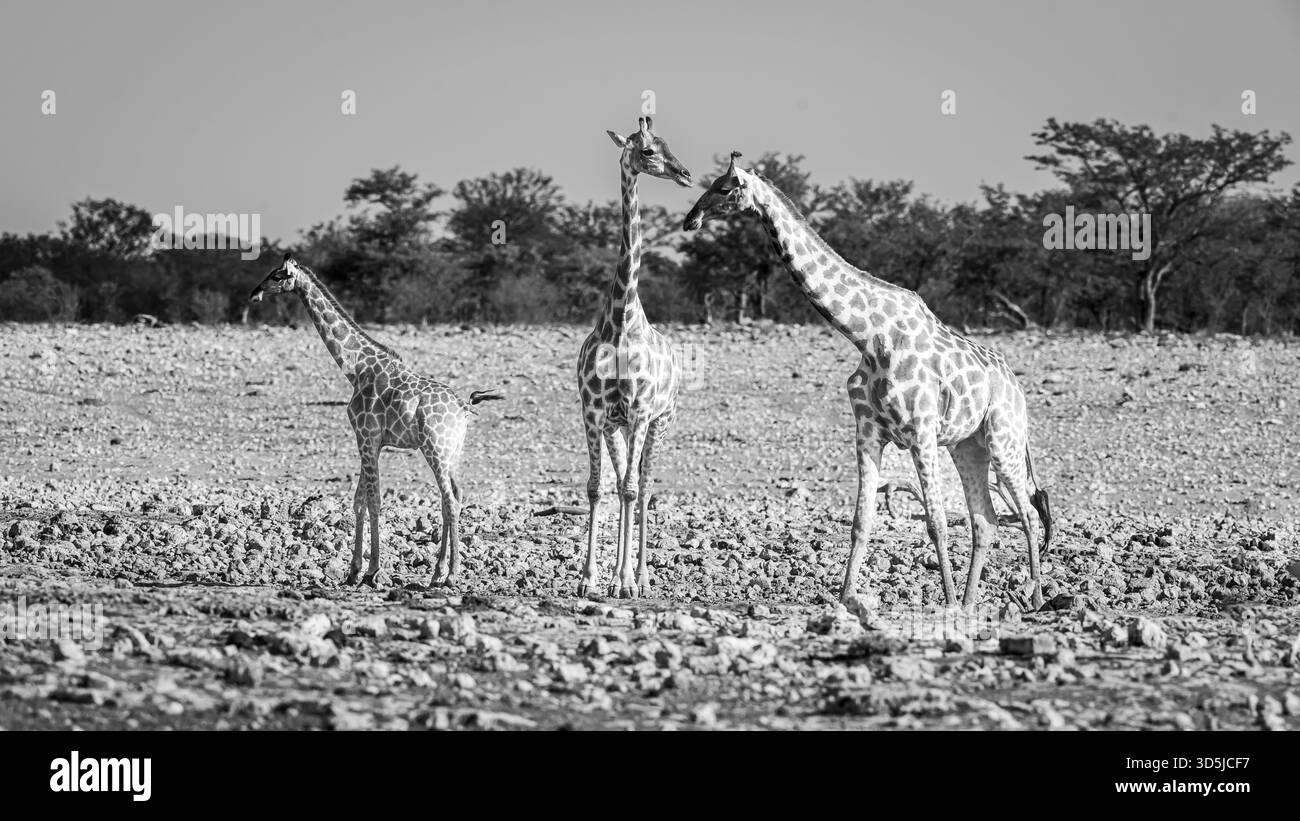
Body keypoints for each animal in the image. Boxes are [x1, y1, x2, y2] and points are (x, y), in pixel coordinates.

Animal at [249, 253, 502, 588]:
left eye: (277, 276)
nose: (254, 293)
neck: (356, 368)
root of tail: (463, 407)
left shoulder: (367, 437)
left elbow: (374, 501)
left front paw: (372, 571)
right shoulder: (370, 441)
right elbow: (358, 501)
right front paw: (352, 571)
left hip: (434, 448)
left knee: (450, 500)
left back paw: (450, 574)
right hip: (453, 452)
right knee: (455, 497)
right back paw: (438, 572)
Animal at [683, 153, 1053, 612]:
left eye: (723, 188)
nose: (690, 219)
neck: (868, 335)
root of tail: (1017, 387)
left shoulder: (921, 433)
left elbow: (935, 522)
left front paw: (946, 601)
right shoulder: (868, 432)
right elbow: (861, 521)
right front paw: (846, 599)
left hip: (1004, 438)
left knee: (1027, 513)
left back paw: (1033, 597)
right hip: (968, 446)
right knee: (985, 519)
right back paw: (971, 603)